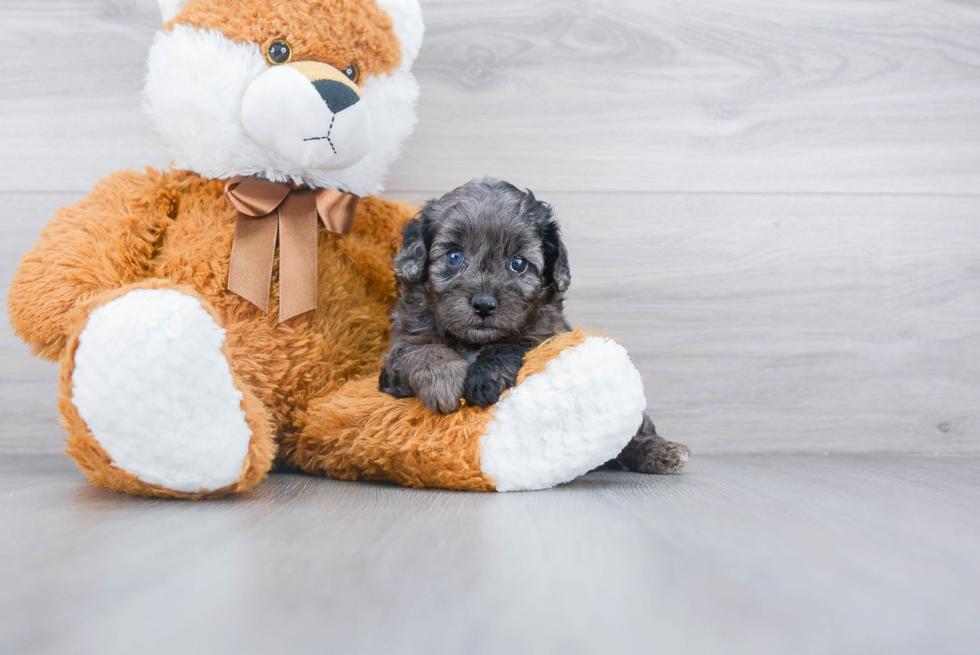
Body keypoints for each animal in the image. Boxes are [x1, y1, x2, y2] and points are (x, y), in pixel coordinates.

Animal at [378, 179, 692, 474]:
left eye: (518, 263)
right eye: (454, 256)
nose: (484, 304)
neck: (474, 341)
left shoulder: (547, 336)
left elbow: (513, 344)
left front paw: (486, 378)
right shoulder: (398, 353)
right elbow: (422, 350)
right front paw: (443, 382)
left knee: (630, 435)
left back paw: (660, 452)